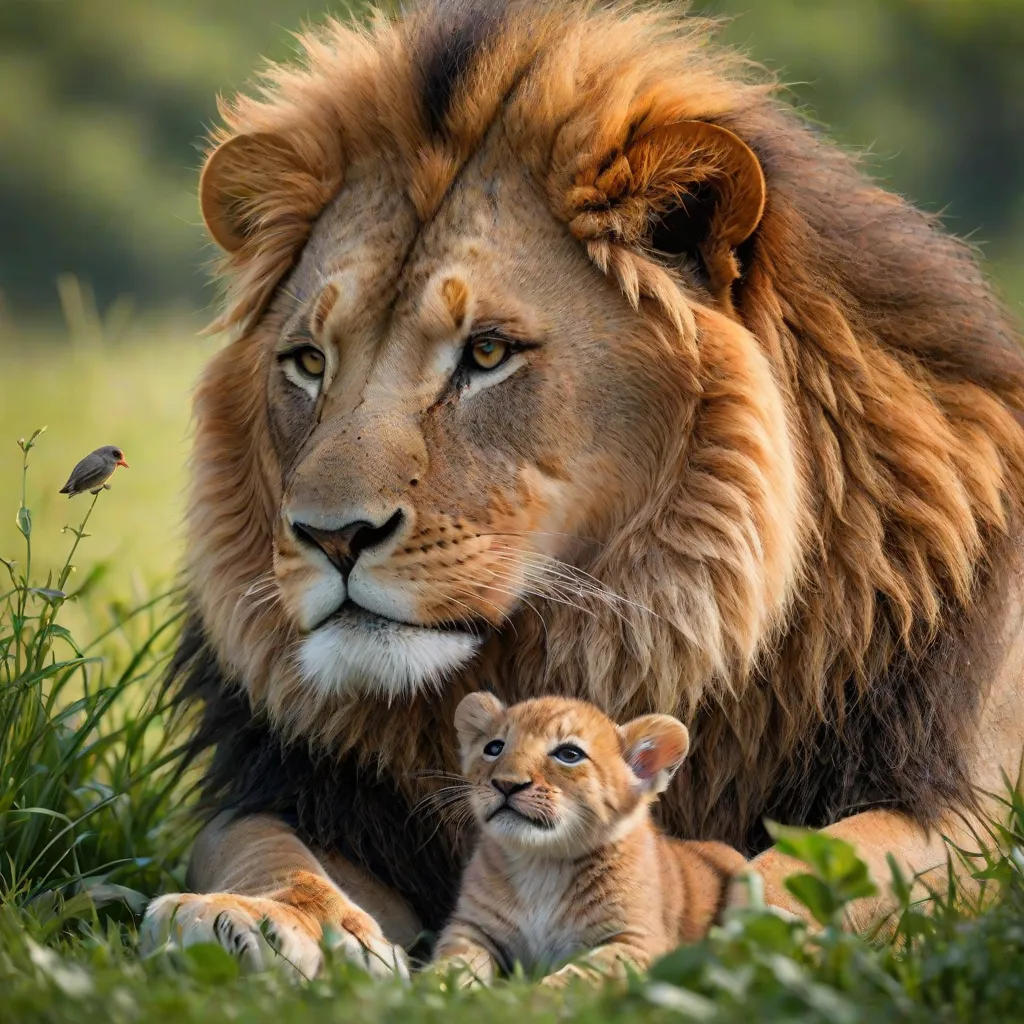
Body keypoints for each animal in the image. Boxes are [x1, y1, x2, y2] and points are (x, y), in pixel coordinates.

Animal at [139, 0, 1024, 978]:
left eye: (487, 352)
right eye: (306, 361)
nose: (331, 537)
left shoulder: (956, 807)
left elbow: (817, 868)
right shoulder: (292, 791)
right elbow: (263, 846)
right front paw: (264, 921)